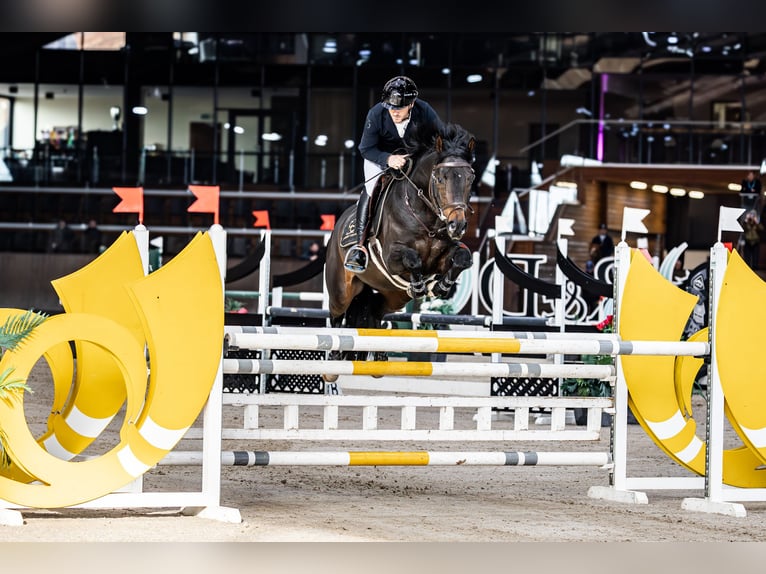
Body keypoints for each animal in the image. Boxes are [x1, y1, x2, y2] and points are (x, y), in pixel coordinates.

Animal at [326, 122, 480, 352]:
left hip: (392, 295)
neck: (427, 218)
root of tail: (337, 228)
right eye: (440, 178)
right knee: (336, 317)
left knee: (373, 312)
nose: (457, 225)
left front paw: (441, 287)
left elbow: (463, 258)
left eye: (470, 178)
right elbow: (412, 259)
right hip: (341, 291)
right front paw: (420, 286)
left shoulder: (441, 258)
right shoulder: (391, 259)